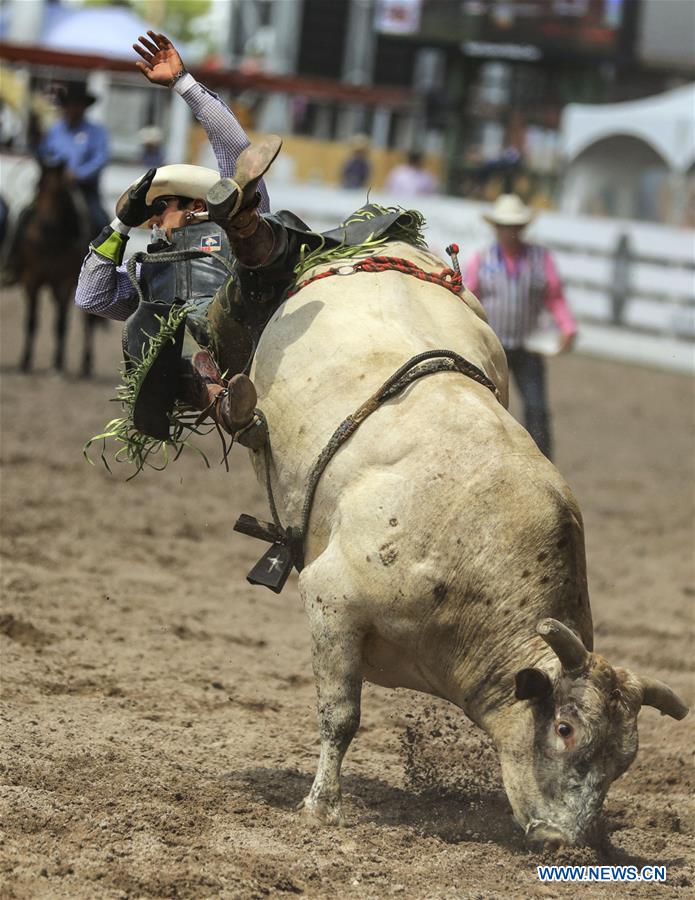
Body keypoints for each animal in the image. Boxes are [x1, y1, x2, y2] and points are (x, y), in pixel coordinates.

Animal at [16, 162, 102, 376]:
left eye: (60, 193)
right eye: (38, 186)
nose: (46, 224)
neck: (52, 240)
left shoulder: (64, 283)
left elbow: (61, 324)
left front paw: (58, 364)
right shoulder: (31, 280)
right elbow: (31, 321)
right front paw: (25, 361)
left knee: (87, 322)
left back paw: (86, 363)